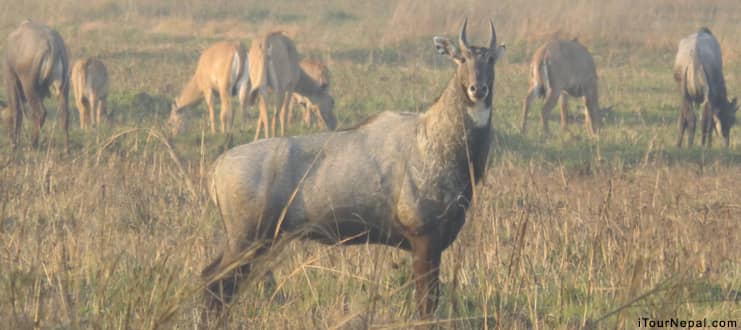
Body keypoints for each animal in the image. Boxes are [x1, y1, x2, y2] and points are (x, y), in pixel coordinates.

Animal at [4, 19, 69, 150]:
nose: (9, 139)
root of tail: (51, 41)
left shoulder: (11, 78)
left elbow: (16, 110)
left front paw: (15, 144)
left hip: (29, 87)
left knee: (40, 112)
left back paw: (32, 144)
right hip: (62, 88)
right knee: (64, 114)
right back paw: (66, 149)